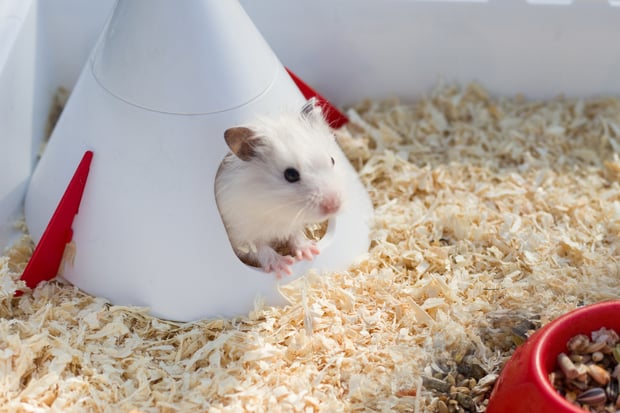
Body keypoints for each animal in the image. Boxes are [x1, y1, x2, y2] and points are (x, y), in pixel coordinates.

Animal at [216, 98, 346, 276]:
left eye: (332, 160)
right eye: (290, 175)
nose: (334, 206)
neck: (278, 209)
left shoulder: (293, 223)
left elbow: (296, 235)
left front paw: (310, 251)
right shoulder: (239, 233)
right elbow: (259, 249)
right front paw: (284, 266)